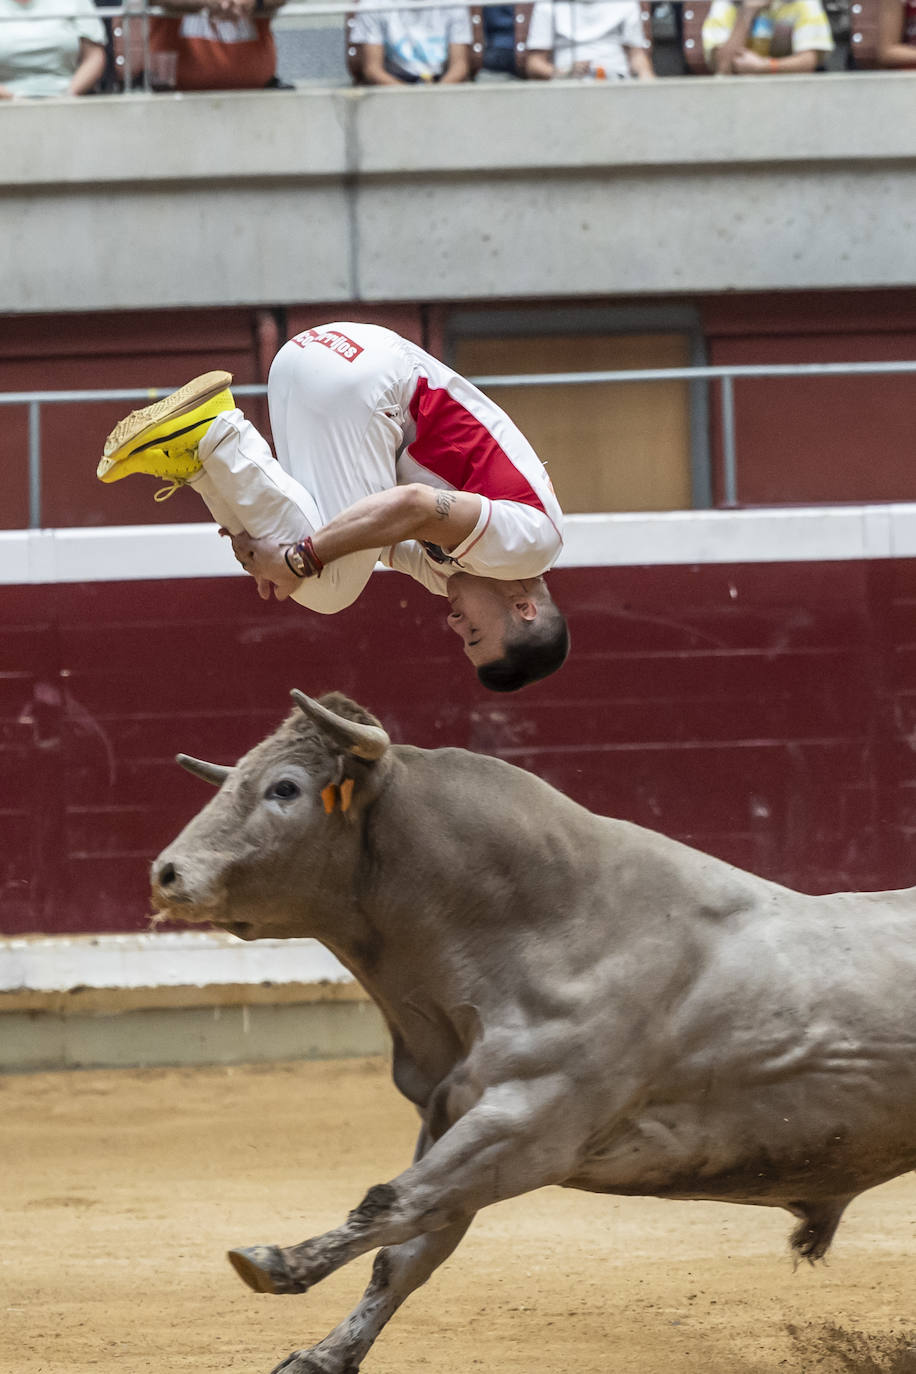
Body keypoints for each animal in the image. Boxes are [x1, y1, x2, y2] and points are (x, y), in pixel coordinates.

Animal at [150, 692, 916, 1374]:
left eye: (286, 786)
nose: (167, 873)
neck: (548, 926)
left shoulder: (528, 1126)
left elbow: (394, 1204)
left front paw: (276, 1262)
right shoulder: (454, 1117)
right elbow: (407, 1251)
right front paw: (321, 1356)